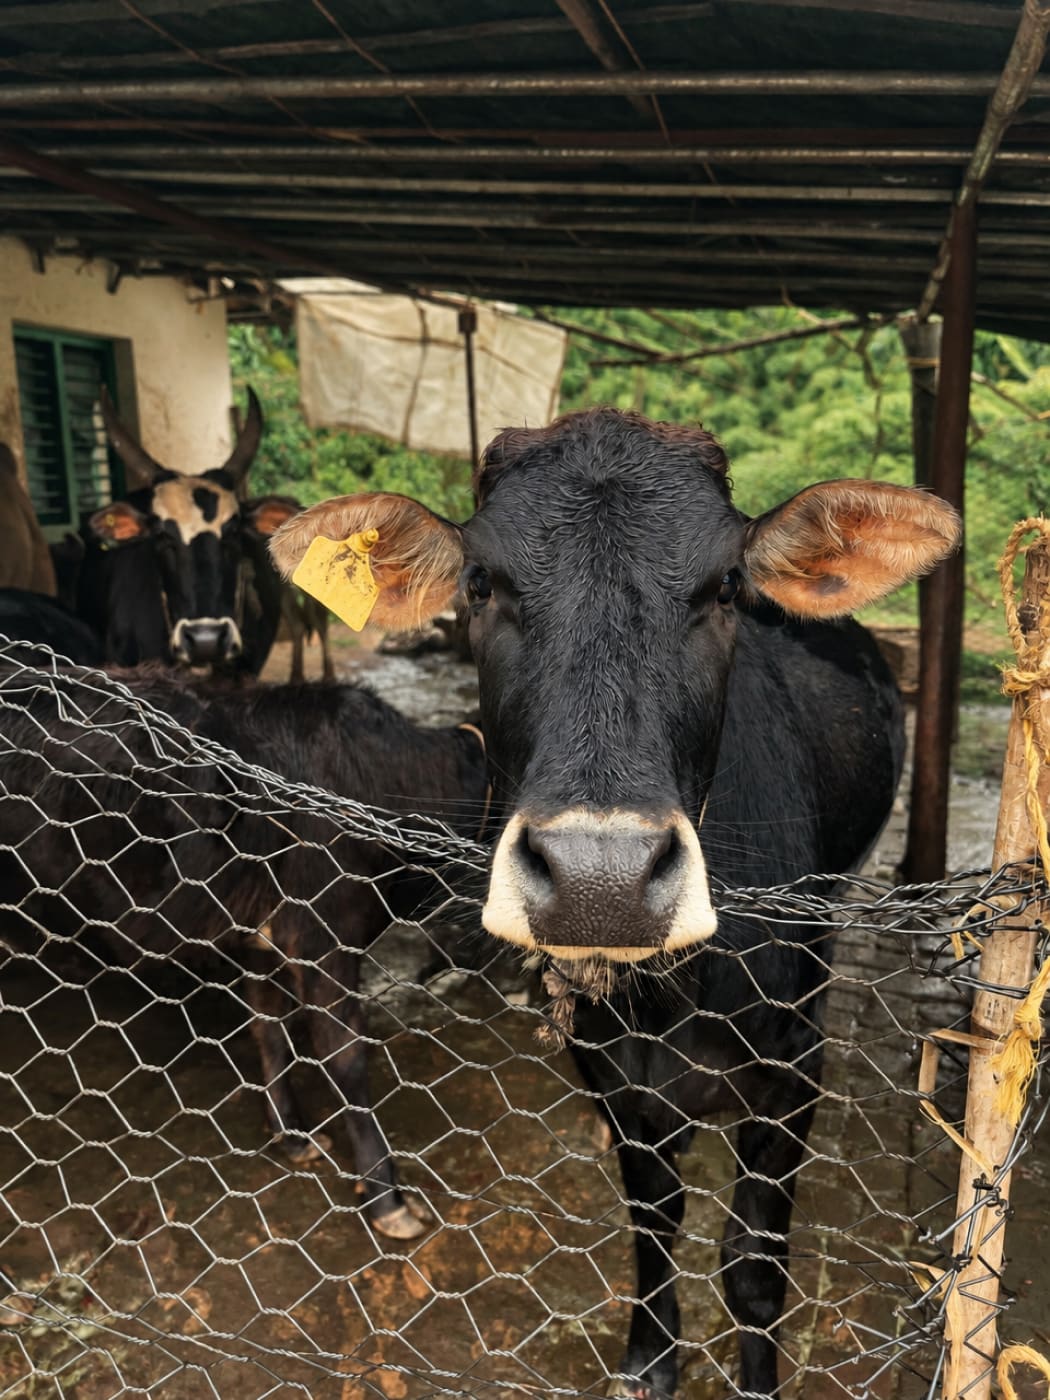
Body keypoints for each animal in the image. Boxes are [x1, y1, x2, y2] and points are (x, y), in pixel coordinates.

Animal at [0, 668, 489, 1240]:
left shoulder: (265, 940)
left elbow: (269, 1030)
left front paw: (294, 1137)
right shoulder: (323, 934)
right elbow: (344, 1055)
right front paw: (386, 1196)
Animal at [269, 408, 960, 1399]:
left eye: (727, 585)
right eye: (480, 583)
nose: (601, 879)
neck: (671, 1004)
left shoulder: (796, 1066)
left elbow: (753, 1267)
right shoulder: (614, 1074)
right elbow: (653, 1221)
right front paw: (651, 1357)